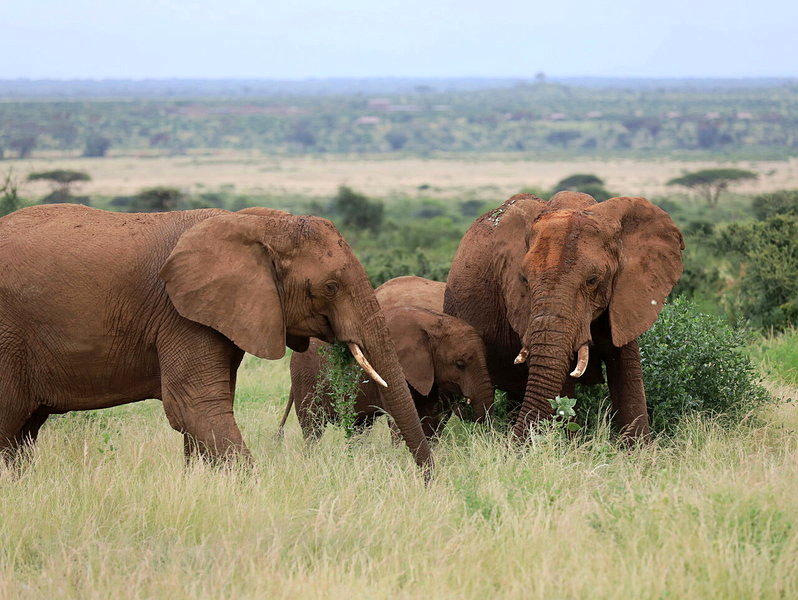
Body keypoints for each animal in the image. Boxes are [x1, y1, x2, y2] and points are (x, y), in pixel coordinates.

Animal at [0, 204, 431, 470]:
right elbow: (196, 408)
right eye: (330, 287)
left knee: (22, 435)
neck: (254, 223)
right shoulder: (179, 314)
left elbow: (200, 417)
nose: (428, 481)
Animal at [281, 276, 494, 441]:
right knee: (312, 427)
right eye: (460, 364)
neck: (432, 322)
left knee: (359, 427)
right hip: (305, 376)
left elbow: (430, 419)